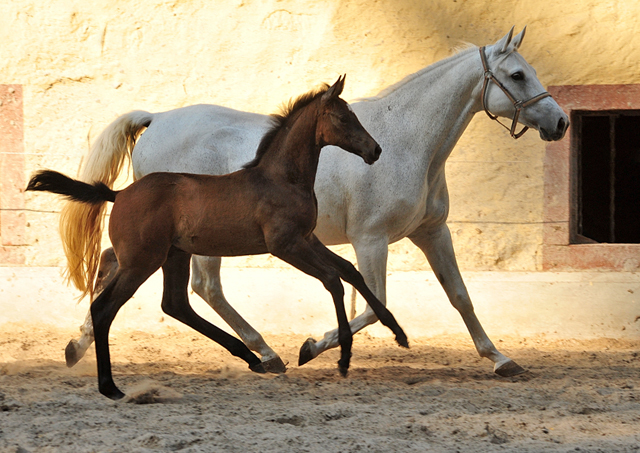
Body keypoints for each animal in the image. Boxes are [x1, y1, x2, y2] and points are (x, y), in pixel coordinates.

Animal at [62, 27, 568, 374]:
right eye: (517, 74)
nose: (560, 122)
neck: (407, 141)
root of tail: (156, 118)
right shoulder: (371, 240)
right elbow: (372, 303)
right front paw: (313, 347)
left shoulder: (431, 232)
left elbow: (460, 295)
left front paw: (501, 359)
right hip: (193, 241)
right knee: (204, 289)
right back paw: (266, 354)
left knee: (116, 264)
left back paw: (79, 344)